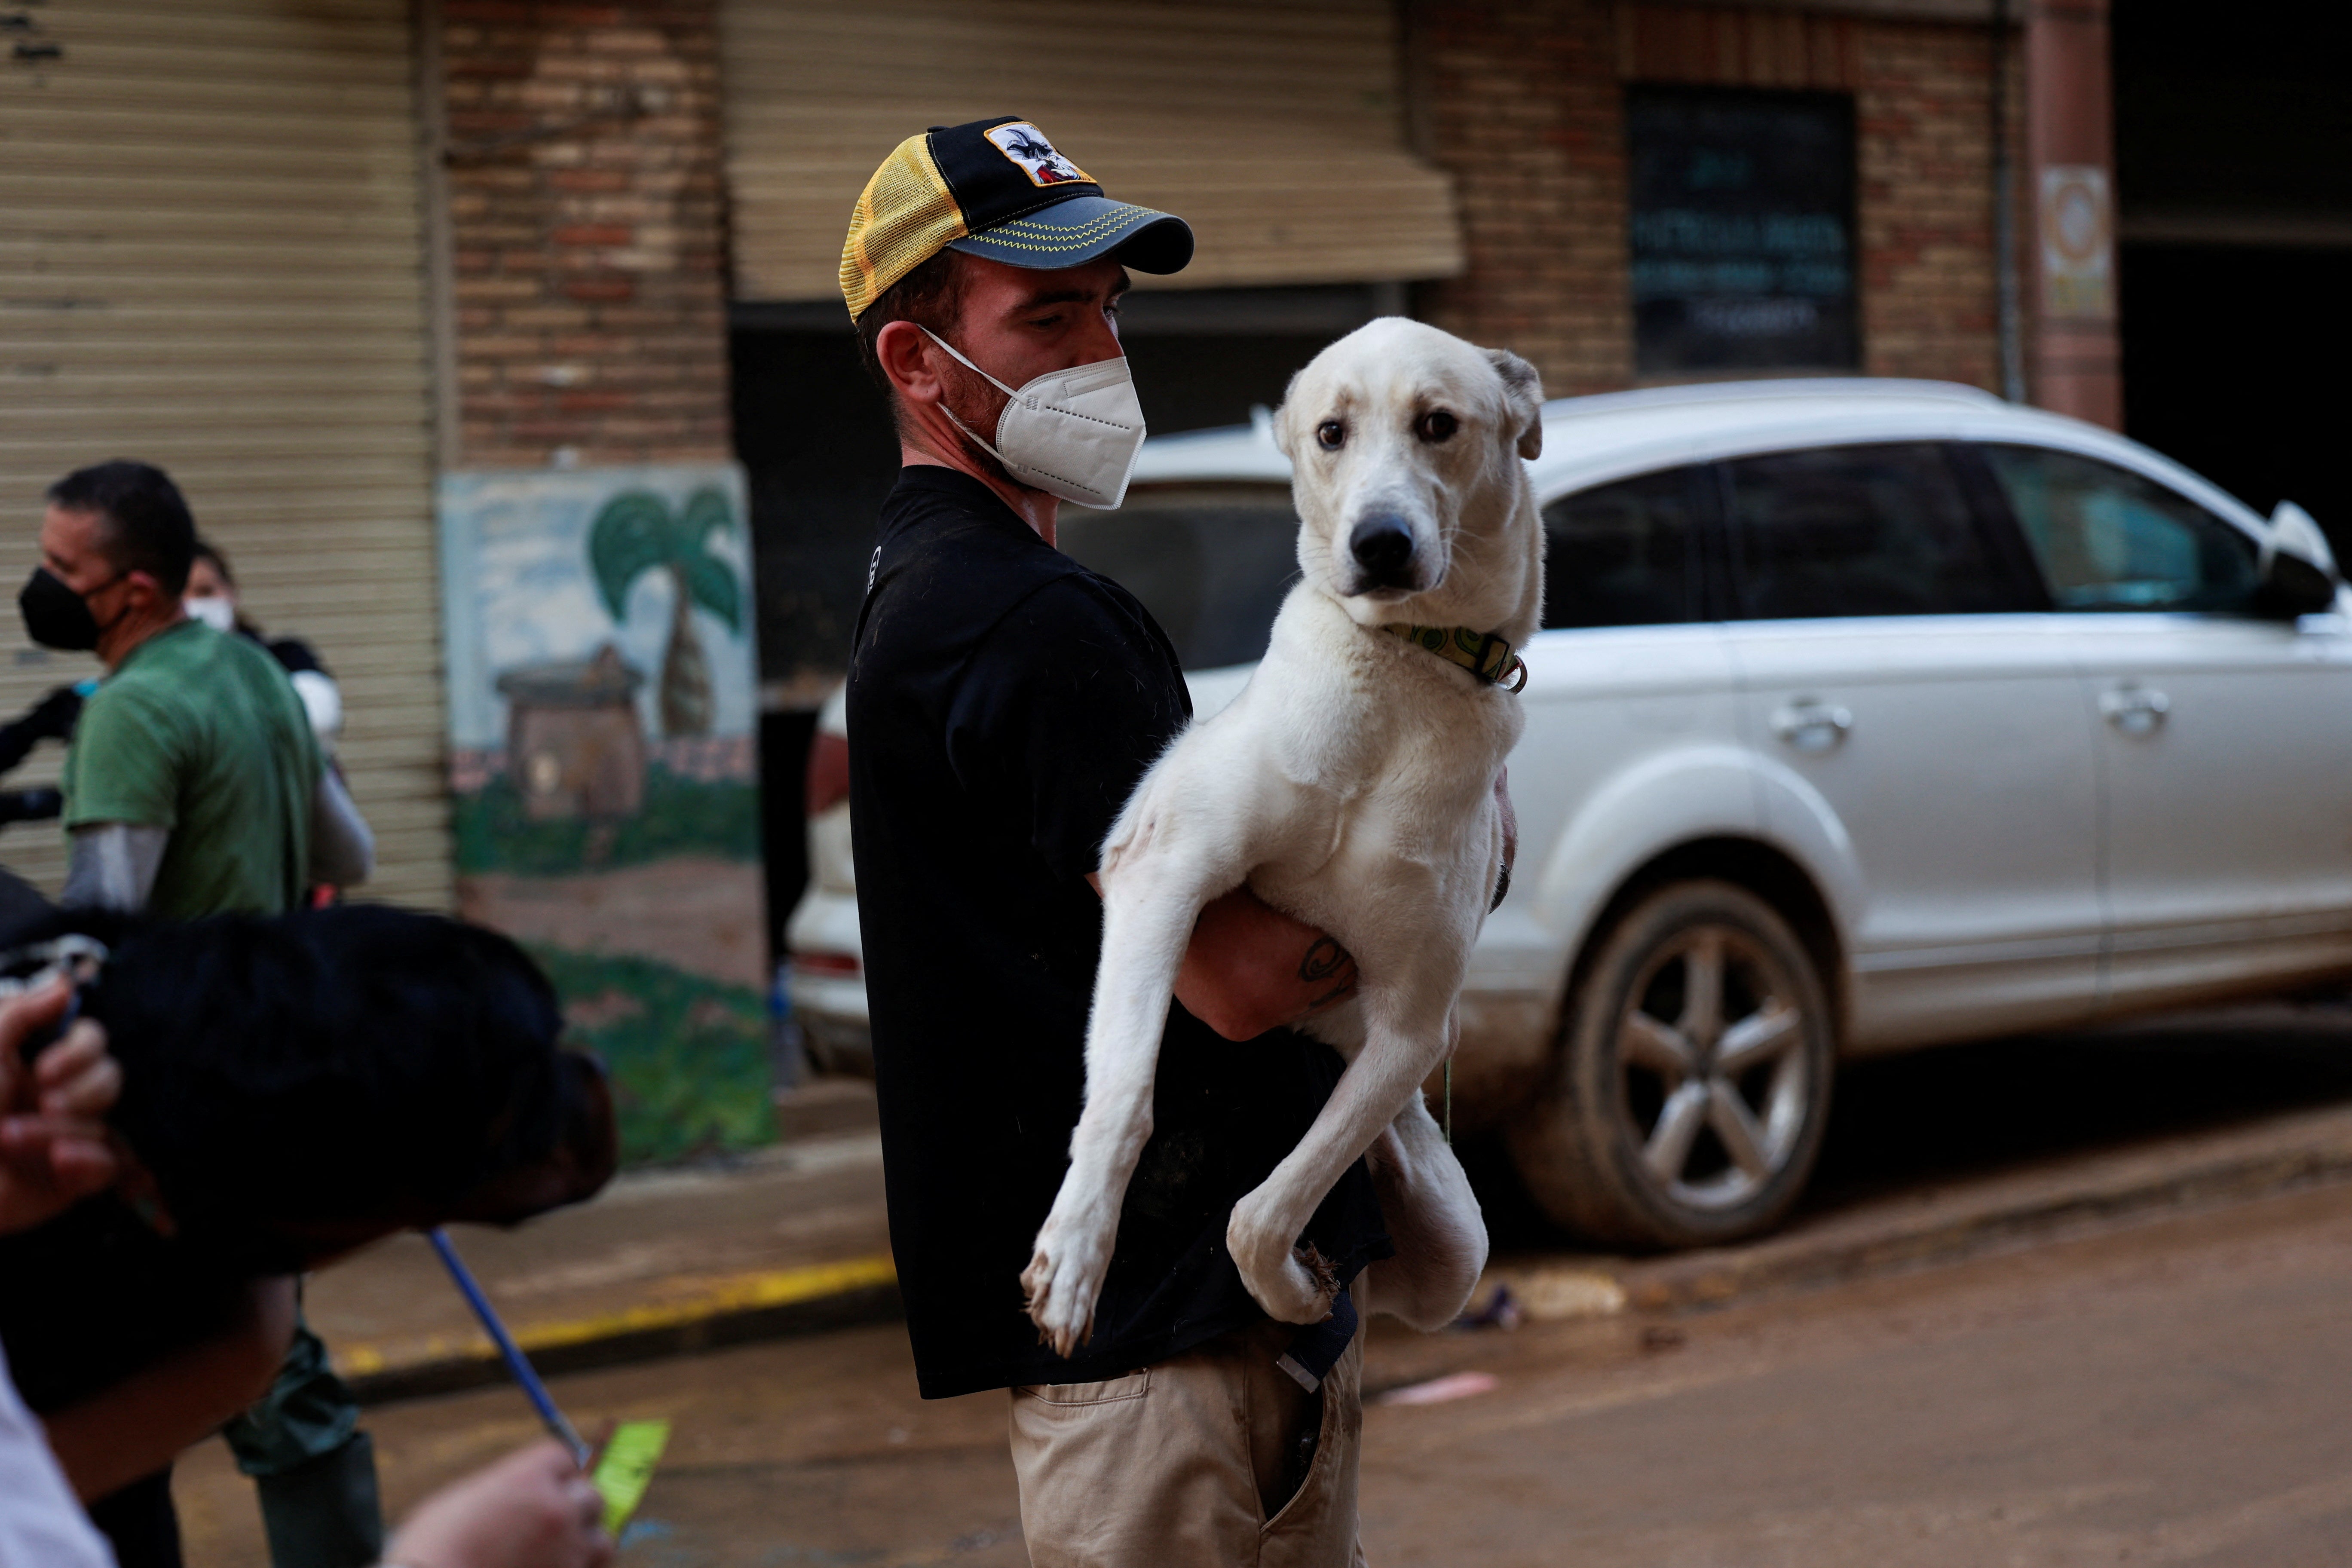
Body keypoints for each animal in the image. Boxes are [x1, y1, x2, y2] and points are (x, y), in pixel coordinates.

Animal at [1016, 322, 1543, 1363]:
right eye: (1331, 431)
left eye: (1439, 424)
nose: (1379, 544)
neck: (1402, 675)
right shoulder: (1159, 866)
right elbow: (1128, 1097)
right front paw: (1076, 1257)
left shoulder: (1414, 1025)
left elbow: (1263, 1211)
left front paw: (1294, 1288)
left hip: (1457, 1245)